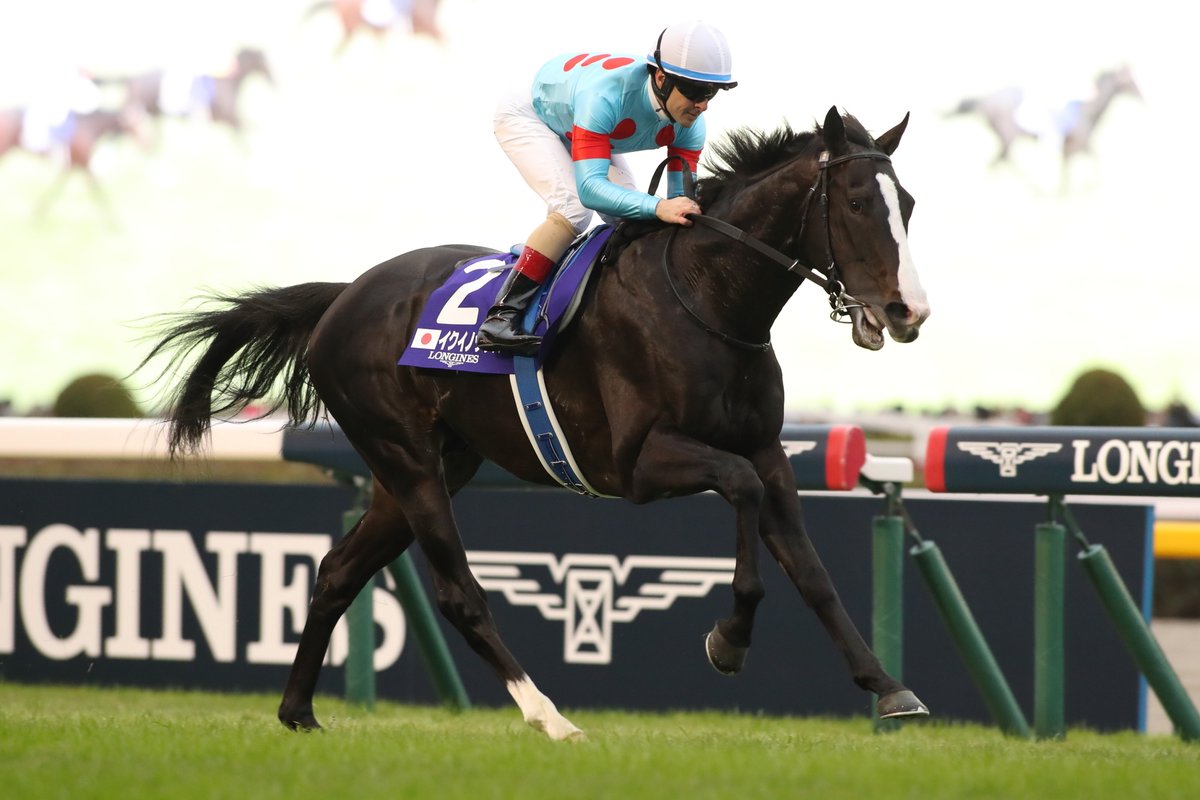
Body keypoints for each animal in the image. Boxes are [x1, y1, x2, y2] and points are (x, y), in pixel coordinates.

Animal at [142, 106, 931, 740]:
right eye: (856, 202)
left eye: (909, 203)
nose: (908, 311)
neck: (708, 299)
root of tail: (343, 296)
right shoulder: (641, 464)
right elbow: (739, 493)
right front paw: (729, 639)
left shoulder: (767, 450)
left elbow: (810, 568)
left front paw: (889, 687)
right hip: (405, 456)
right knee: (458, 592)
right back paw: (548, 716)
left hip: (430, 465)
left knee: (338, 570)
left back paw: (298, 712)